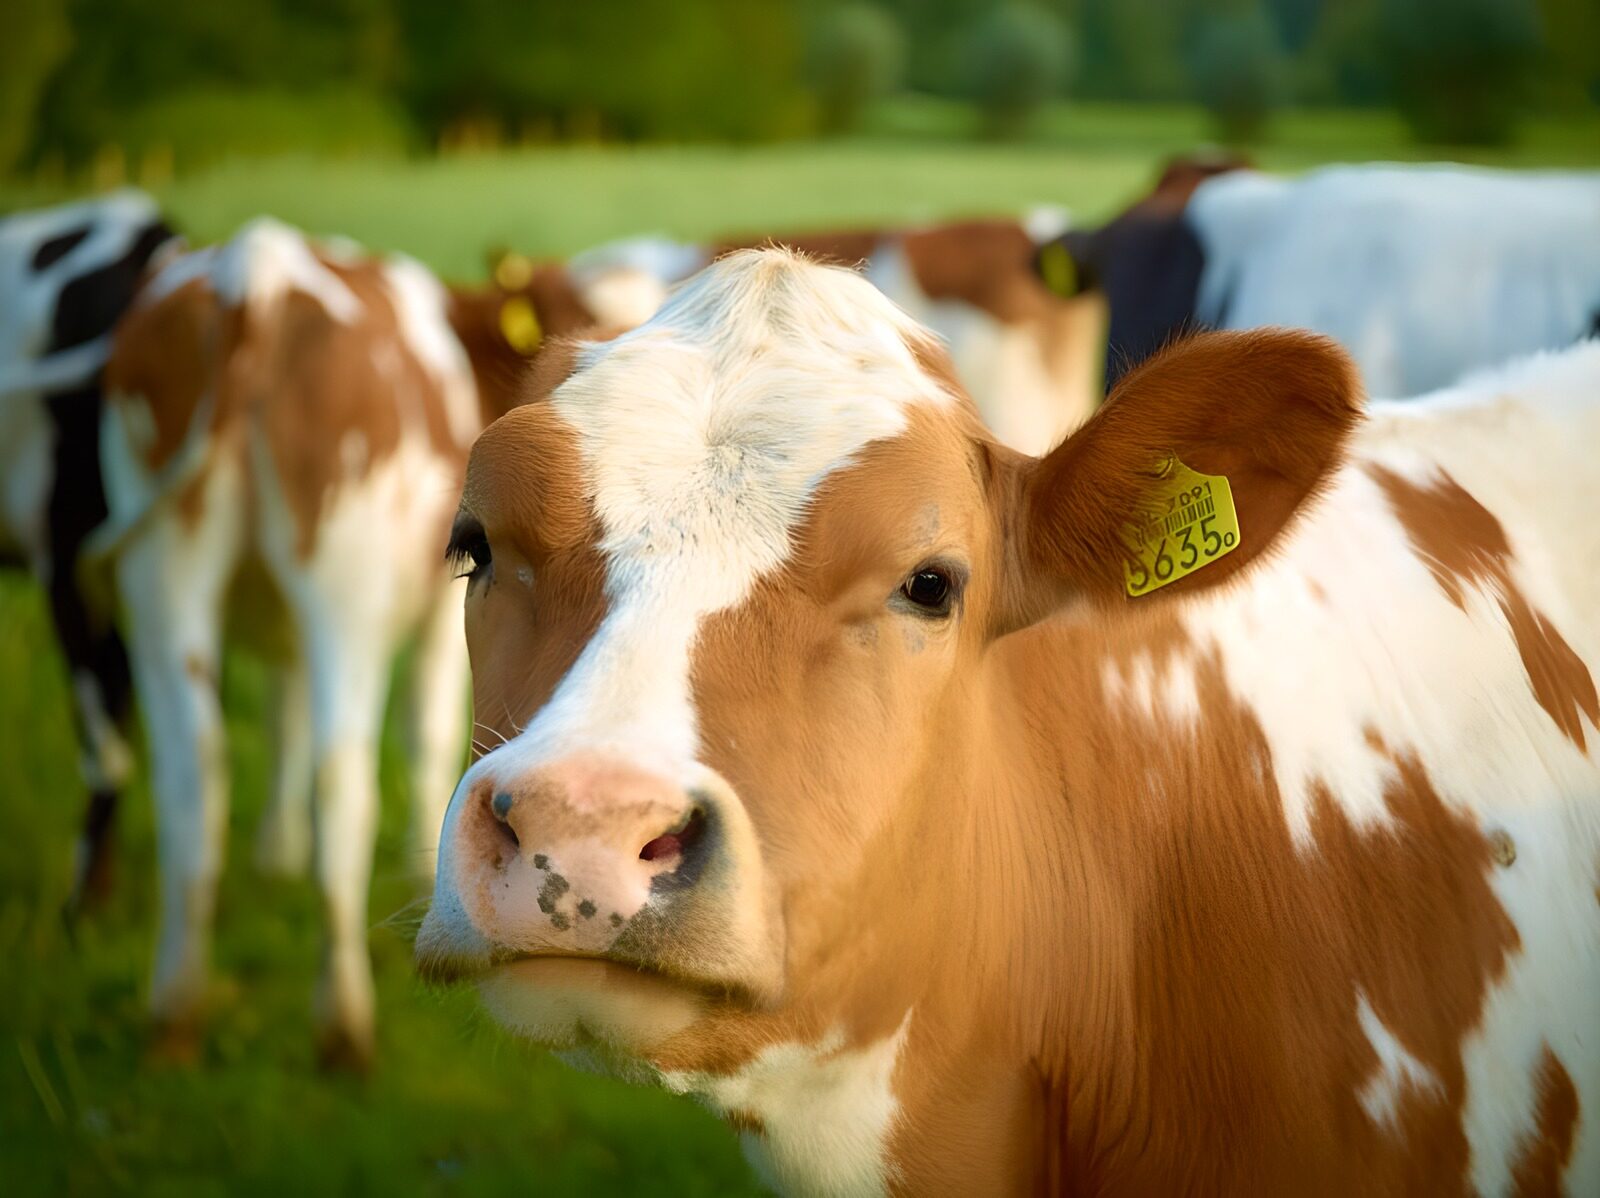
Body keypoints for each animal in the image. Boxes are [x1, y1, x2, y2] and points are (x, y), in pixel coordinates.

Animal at [94, 217, 574, 1064]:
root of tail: (256, 269)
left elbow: (282, 714)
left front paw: (274, 856)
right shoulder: (450, 612)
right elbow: (435, 741)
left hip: (163, 574)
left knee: (191, 776)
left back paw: (175, 1012)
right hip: (343, 586)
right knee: (341, 782)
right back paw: (344, 1025)